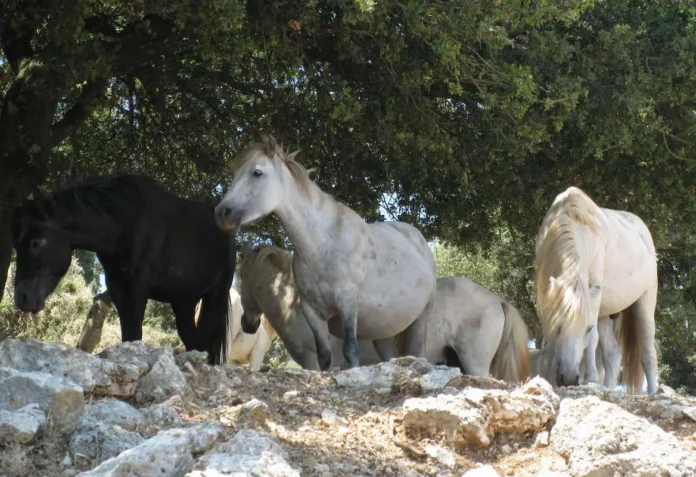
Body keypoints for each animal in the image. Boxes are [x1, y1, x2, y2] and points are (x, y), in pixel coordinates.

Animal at [12, 174, 236, 364]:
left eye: (35, 243)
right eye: (16, 245)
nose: (22, 298)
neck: (124, 222)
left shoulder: (137, 285)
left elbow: (134, 333)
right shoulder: (117, 285)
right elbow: (128, 333)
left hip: (216, 295)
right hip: (183, 301)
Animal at [535, 186, 658, 393]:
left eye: (586, 329)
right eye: (558, 327)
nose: (570, 378)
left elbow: (593, 339)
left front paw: (590, 378)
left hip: (644, 305)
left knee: (648, 355)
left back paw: (653, 393)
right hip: (605, 313)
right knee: (613, 355)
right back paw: (608, 388)